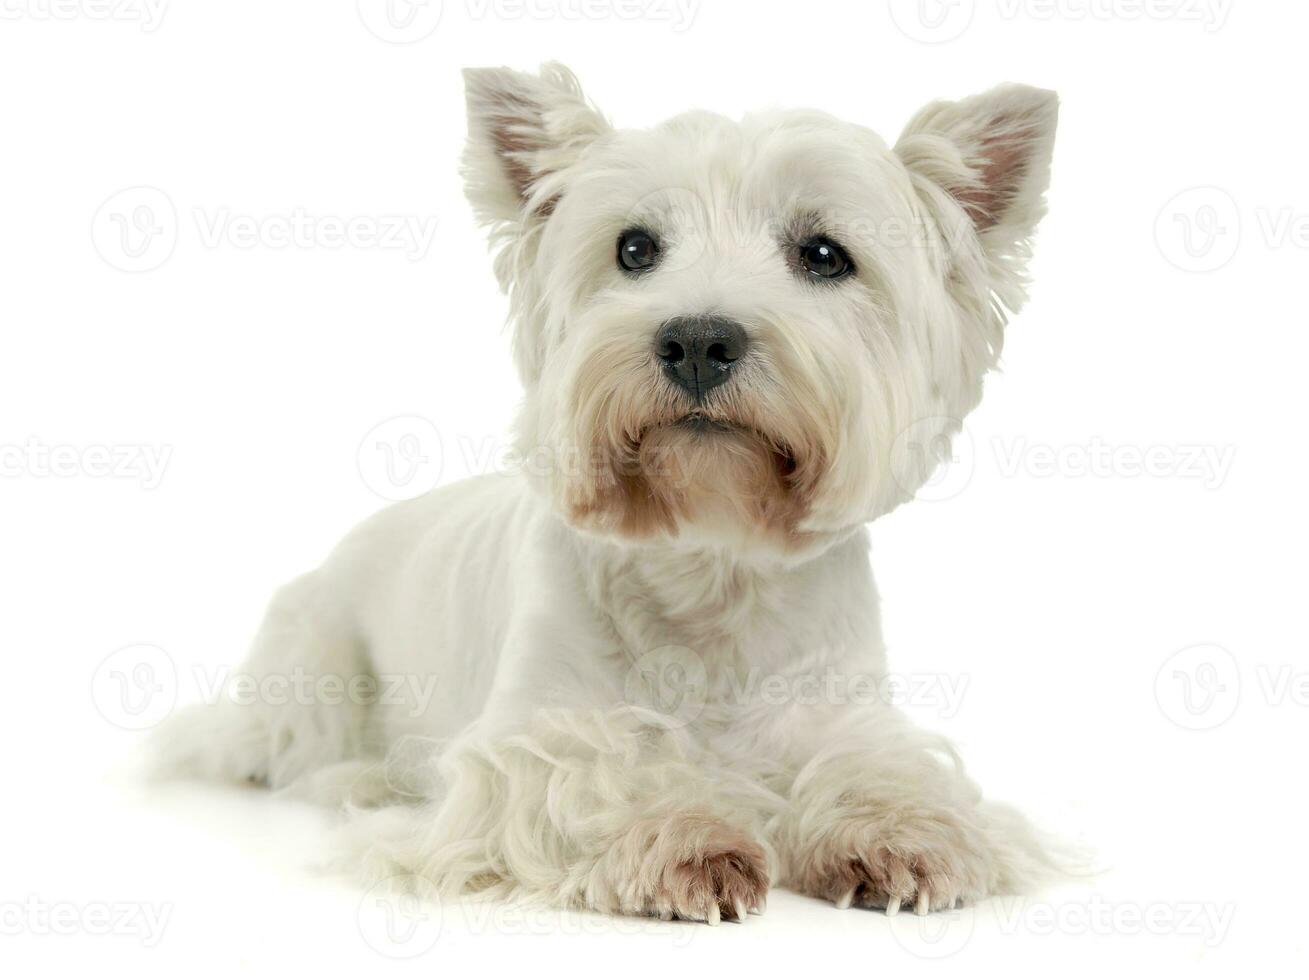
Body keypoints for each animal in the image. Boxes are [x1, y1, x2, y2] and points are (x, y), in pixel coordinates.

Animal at [158, 63, 1057, 926]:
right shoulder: (531, 739)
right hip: (311, 661)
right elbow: (601, 765)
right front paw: (687, 840)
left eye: (825, 255)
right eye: (634, 248)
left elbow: (879, 765)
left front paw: (907, 836)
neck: (710, 567)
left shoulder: (842, 711)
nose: (697, 340)